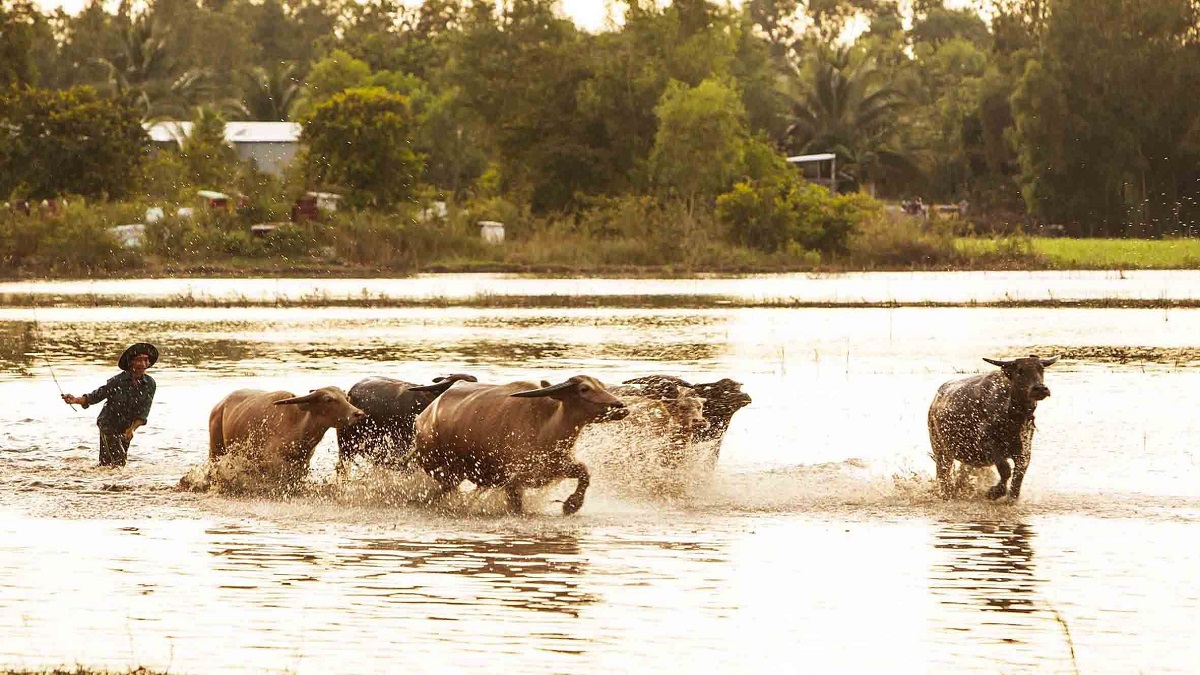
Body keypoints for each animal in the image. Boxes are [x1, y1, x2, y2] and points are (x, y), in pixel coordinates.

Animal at [208, 384, 364, 478]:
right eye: (328, 399)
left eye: (346, 398)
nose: (358, 413)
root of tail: (219, 406)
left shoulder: (303, 464)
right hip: (216, 450)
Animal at [408, 374, 628, 511]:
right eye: (584, 389)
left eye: (602, 386)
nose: (620, 406)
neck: (546, 429)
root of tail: (424, 417)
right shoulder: (513, 482)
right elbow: (517, 506)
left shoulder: (556, 467)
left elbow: (584, 474)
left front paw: (571, 505)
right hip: (441, 468)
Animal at [926, 355, 1060, 497]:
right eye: (1019, 371)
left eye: (1041, 368)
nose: (1040, 389)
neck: (1011, 416)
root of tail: (934, 403)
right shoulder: (988, 444)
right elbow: (1005, 469)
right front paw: (996, 492)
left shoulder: (1024, 449)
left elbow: (1019, 474)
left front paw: (1011, 495)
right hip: (941, 451)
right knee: (943, 474)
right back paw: (947, 493)